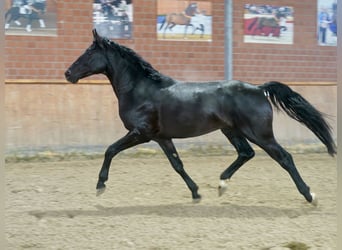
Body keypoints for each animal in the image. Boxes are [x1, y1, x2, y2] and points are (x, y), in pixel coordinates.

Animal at [65, 29, 336, 205]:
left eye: (87, 53)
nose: (68, 73)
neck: (140, 89)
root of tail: (259, 89)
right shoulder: (161, 137)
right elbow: (177, 165)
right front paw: (196, 193)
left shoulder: (141, 133)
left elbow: (110, 150)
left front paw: (100, 186)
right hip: (232, 130)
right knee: (246, 153)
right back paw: (221, 185)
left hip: (260, 133)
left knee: (284, 158)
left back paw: (309, 195)